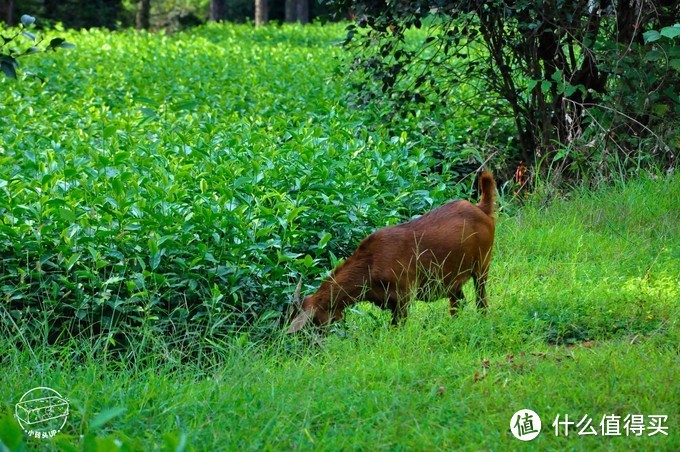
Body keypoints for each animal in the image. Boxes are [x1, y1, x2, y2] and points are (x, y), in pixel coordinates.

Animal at [286, 170, 494, 332]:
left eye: (314, 323)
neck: (369, 267)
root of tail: (483, 209)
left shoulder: (404, 296)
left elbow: (397, 328)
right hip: (452, 280)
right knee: (458, 303)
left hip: (482, 265)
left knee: (481, 300)